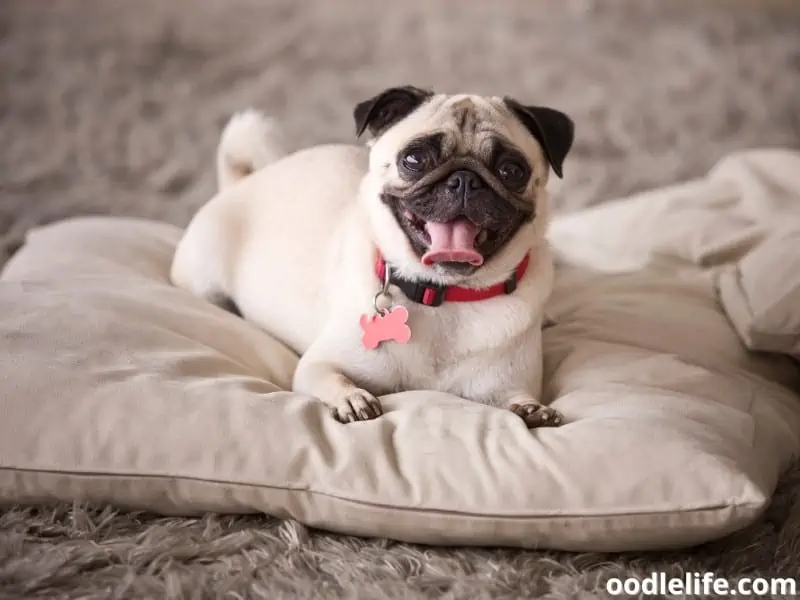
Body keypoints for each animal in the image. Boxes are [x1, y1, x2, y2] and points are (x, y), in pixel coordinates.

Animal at [172, 86, 576, 428]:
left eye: (511, 170)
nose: (464, 179)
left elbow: (517, 398)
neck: (442, 295)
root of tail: (242, 182)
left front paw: (532, 410)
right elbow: (329, 377)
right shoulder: (318, 365)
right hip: (204, 280)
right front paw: (351, 399)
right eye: (414, 159)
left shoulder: (505, 384)